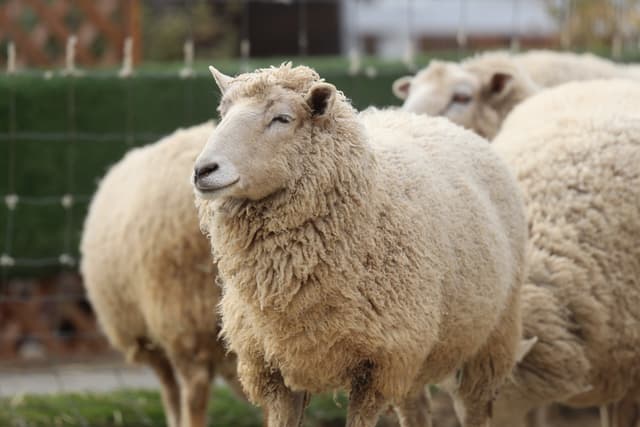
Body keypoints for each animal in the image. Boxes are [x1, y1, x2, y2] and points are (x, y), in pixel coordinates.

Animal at [192, 63, 528, 427]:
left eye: (282, 118)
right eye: (223, 112)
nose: (203, 170)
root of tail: (436, 122)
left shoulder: (377, 368)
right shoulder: (274, 371)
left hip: (489, 341)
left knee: (472, 407)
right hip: (415, 356)